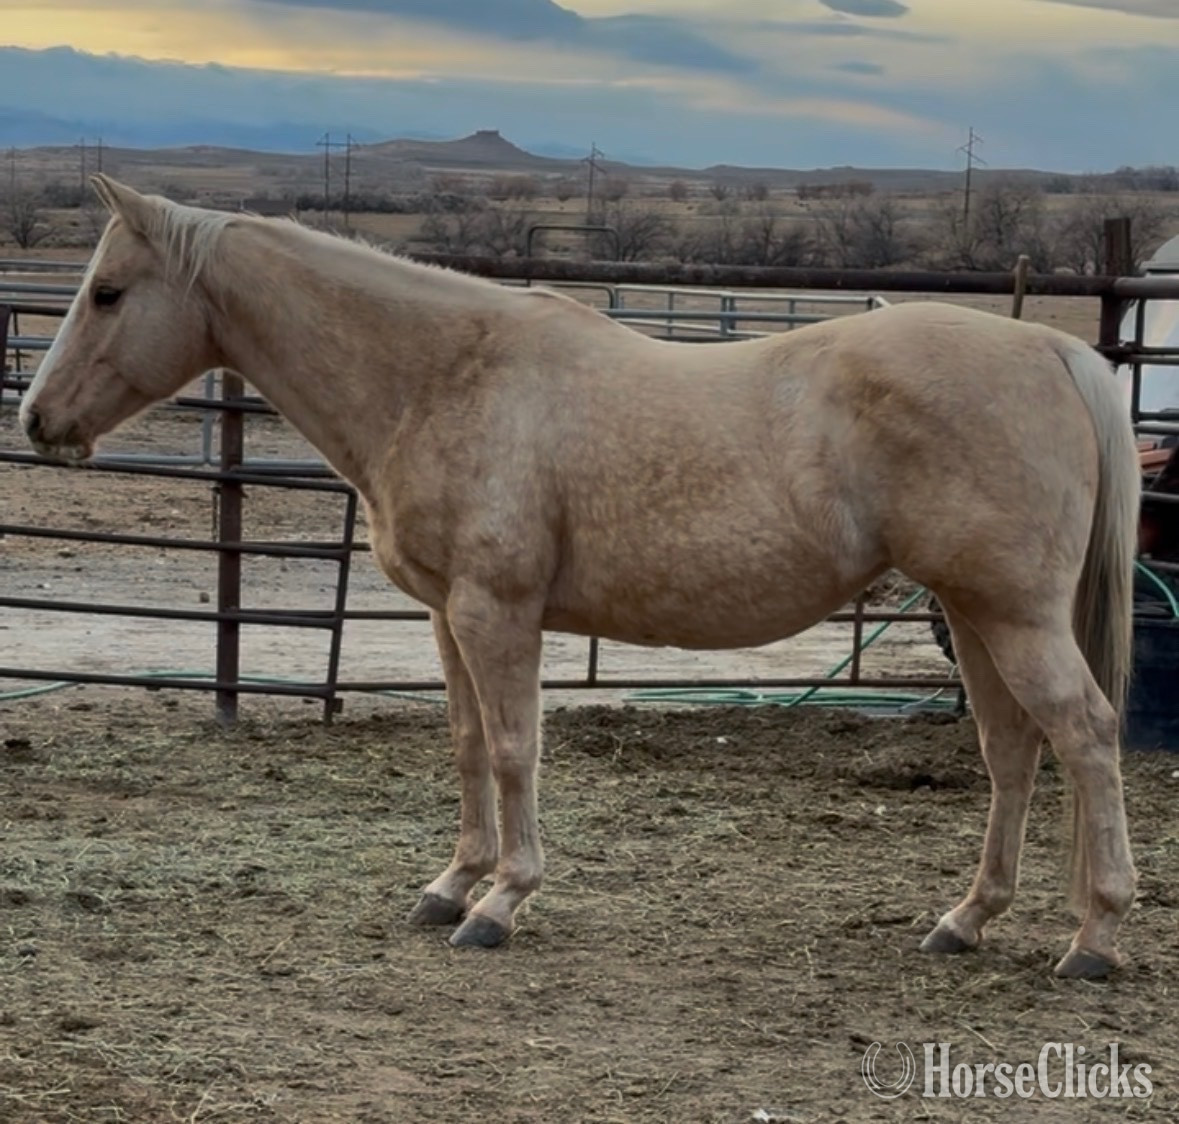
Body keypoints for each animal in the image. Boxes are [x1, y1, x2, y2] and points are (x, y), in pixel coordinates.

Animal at [20, 175, 1141, 979]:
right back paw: (966, 920)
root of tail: (1052, 350)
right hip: (974, 611)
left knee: (1085, 734)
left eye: (108, 292)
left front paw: (501, 902)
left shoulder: (498, 612)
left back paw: (1094, 938)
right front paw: (450, 884)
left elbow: (518, 749)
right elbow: (470, 745)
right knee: (1011, 751)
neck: (444, 375)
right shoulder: (448, 617)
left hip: (1014, 616)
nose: (38, 419)